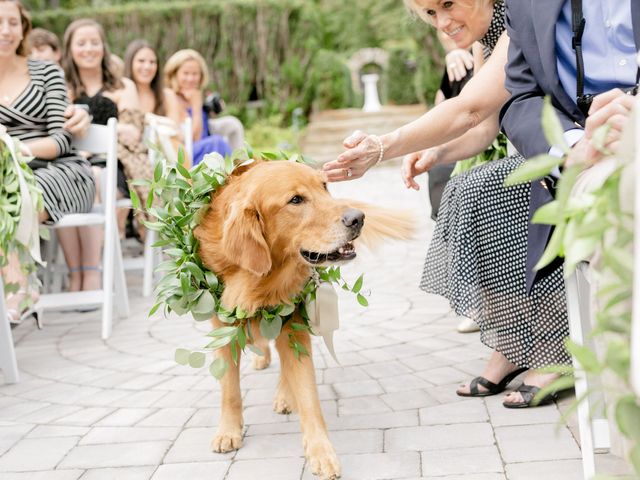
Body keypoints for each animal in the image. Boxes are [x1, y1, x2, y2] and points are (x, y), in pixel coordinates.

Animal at [196, 159, 410, 478]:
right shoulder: (223, 328)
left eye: (325, 187)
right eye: (296, 200)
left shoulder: (293, 322)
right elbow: (229, 390)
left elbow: (308, 396)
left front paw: (321, 451)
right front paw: (228, 431)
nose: (357, 218)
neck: (261, 280)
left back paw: (285, 395)